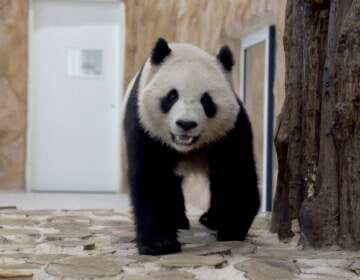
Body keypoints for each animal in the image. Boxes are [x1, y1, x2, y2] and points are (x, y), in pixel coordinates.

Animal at [124, 37, 258, 256]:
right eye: (172, 96)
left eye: (206, 100)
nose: (186, 124)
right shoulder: (145, 127)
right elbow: (153, 178)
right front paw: (159, 243)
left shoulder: (231, 130)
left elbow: (236, 175)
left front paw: (230, 230)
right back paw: (179, 220)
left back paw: (210, 219)